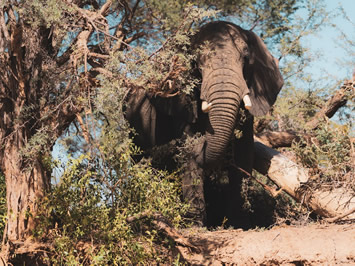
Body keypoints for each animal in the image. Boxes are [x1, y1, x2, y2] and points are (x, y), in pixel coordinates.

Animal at [125, 21, 284, 228]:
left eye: (246, 57)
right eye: (195, 63)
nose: (203, 140)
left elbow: (244, 153)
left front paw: (239, 225)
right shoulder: (180, 102)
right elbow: (188, 152)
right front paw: (195, 225)